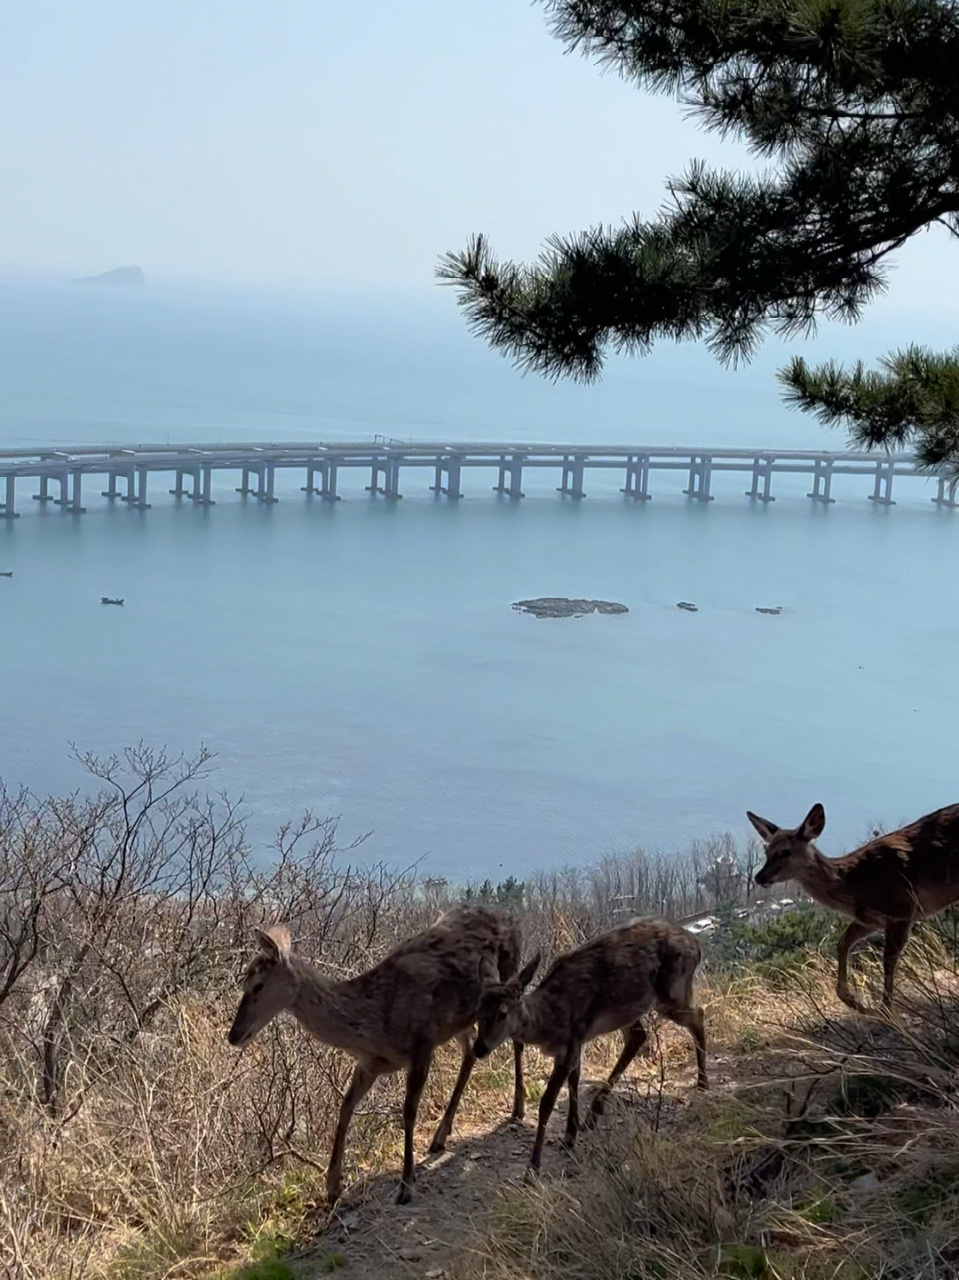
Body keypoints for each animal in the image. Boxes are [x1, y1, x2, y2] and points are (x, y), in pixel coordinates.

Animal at [227, 906, 526, 1205]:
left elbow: (408, 1112)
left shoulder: (422, 1045)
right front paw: (333, 1188)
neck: (375, 1023)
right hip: (461, 1020)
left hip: (507, 980)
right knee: (471, 1050)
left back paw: (518, 1109)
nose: (233, 1036)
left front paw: (406, 1185)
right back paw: (440, 1136)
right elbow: (346, 1106)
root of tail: (508, 919)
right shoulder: (370, 1064)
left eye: (257, 985)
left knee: (515, 1035)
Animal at [473, 917, 707, 1176]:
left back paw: (703, 1083)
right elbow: (574, 1082)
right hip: (628, 1008)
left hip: (671, 991)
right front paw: (569, 1136)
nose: (479, 1048)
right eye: (478, 1011)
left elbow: (547, 1102)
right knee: (639, 1035)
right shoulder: (576, 1042)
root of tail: (696, 944)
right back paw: (592, 1114)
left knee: (698, 1014)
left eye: (502, 1014)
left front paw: (533, 1168)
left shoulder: (570, 1043)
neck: (549, 1019)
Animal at [747, 802, 959, 1010]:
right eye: (767, 851)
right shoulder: (869, 920)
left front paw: (886, 1008)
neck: (857, 884)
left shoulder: (902, 908)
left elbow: (888, 959)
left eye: (785, 852)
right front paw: (853, 1000)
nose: (760, 877)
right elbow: (842, 943)